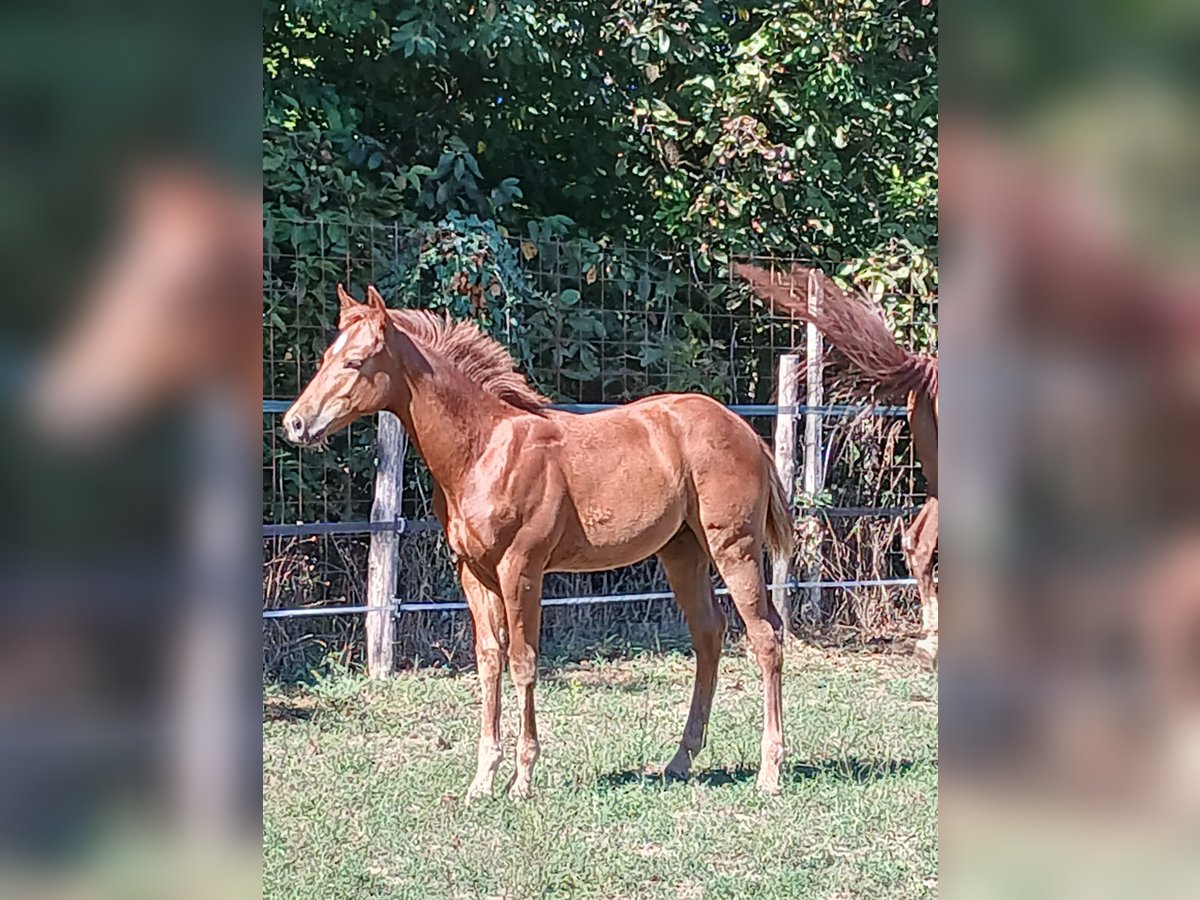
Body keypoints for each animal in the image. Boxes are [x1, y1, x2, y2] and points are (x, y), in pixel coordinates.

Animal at [283, 284, 795, 797]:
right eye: (326, 356)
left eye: (355, 361)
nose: (295, 423)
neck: (484, 451)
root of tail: (746, 431)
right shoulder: (474, 575)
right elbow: (490, 660)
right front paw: (482, 779)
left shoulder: (521, 569)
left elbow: (524, 662)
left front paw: (522, 778)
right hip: (682, 552)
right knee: (708, 634)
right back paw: (680, 760)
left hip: (733, 548)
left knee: (766, 636)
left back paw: (770, 773)